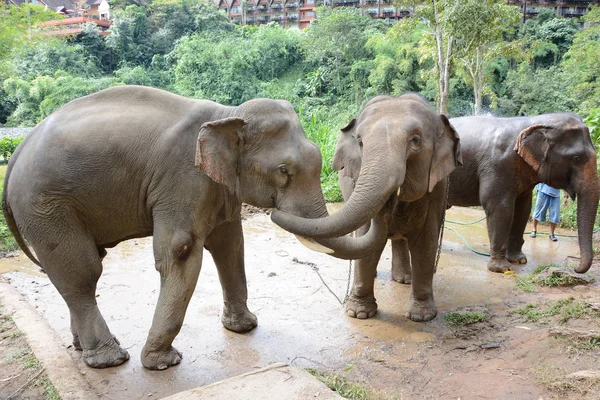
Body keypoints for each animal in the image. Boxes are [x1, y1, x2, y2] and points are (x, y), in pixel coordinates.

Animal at [1, 86, 384, 370]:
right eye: (284, 171)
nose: (276, 216)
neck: (227, 115)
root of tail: (16, 154)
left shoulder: (215, 186)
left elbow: (230, 245)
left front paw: (245, 327)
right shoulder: (182, 180)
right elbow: (181, 250)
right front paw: (163, 362)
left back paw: (82, 348)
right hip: (45, 205)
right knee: (83, 271)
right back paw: (110, 360)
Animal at [270, 94, 462, 322]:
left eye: (415, 140)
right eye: (360, 142)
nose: (273, 211)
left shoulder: (437, 186)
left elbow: (425, 242)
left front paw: (421, 317)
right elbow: (366, 238)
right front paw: (359, 313)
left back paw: (404, 280)